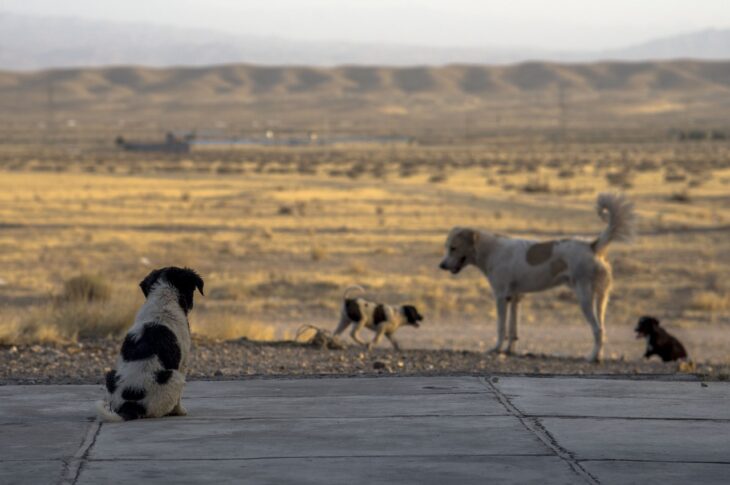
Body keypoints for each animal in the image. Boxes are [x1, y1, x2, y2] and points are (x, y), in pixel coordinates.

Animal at [96, 264, 203, 420]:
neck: (163, 299)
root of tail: (130, 405)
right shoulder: (183, 362)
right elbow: (178, 400)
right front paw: (180, 411)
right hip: (174, 377)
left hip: (110, 375)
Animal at [438, 192, 632, 360]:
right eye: (447, 247)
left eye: (453, 248)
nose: (441, 265)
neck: (491, 250)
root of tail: (592, 245)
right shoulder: (515, 298)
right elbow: (512, 330)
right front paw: (509, 350)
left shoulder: (501, 297)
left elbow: (501, 327)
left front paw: (496, 349)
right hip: (601, 298)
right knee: (603, 328)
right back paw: (598, 356)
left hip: (584, 297)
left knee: (597, 330)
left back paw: (592, 358)